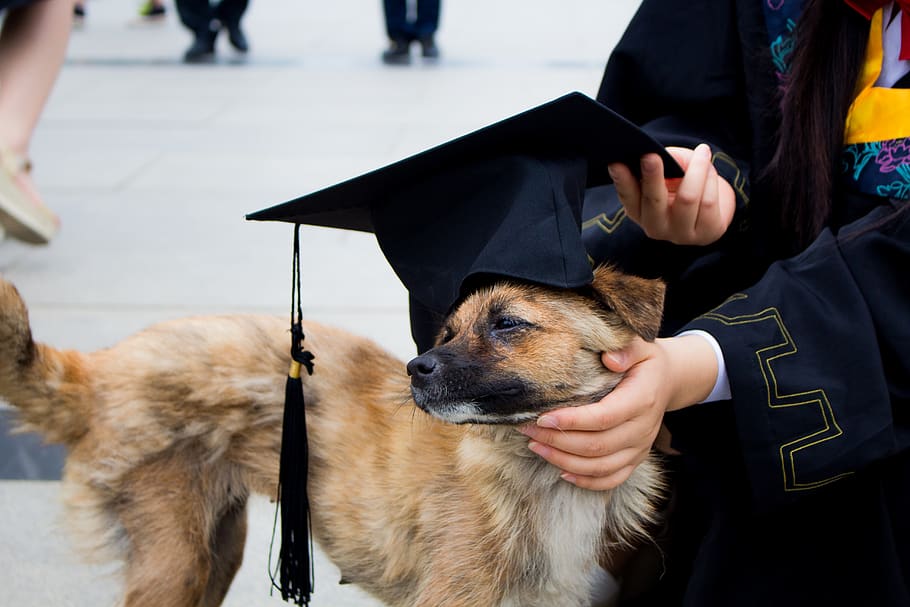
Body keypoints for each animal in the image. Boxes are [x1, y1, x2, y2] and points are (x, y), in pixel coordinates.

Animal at [0, 266, 668, 607]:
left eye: (507, 323)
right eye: (448, 332)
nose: (416, 369)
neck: (528, 460)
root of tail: (101, 370)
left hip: (216, 548)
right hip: (175, 559)